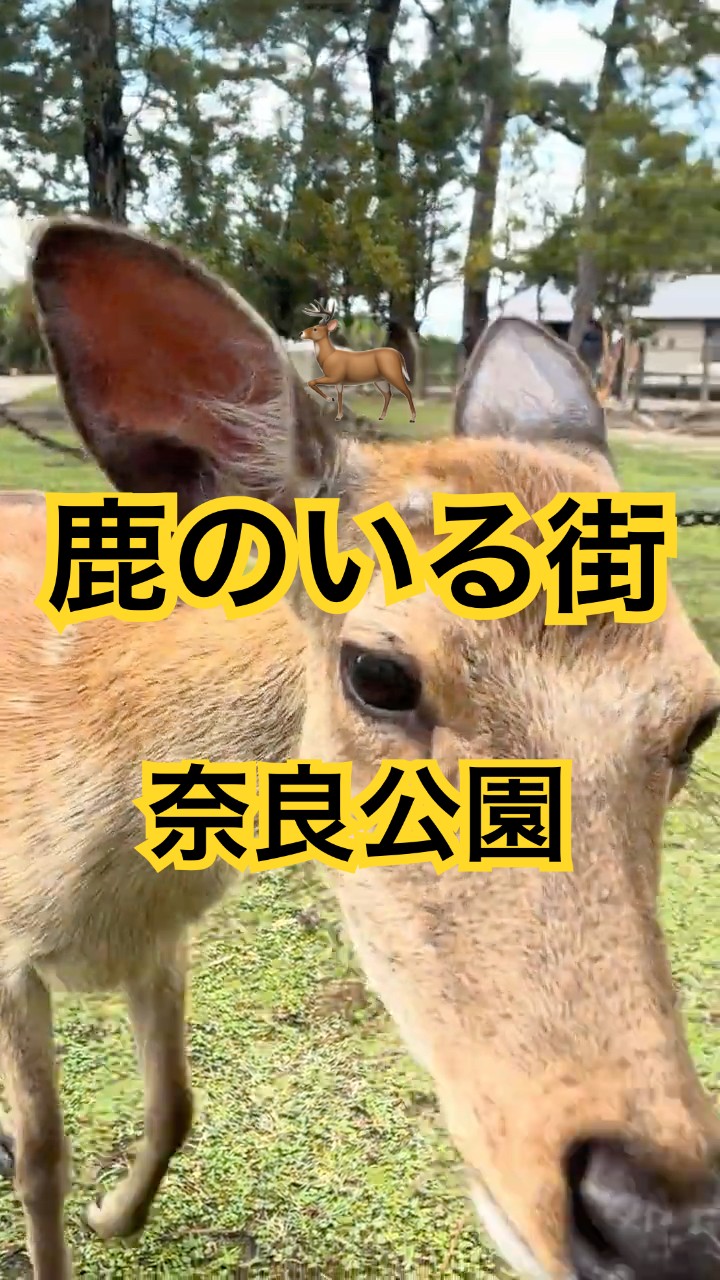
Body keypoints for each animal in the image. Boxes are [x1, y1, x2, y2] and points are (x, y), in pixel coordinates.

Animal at [0, 215, 720, 1280]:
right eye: (378, 672)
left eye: (701, 716)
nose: (663, 1225)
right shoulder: (9, 951)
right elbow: (46, 1158)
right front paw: (77, 1208)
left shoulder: (164, 939)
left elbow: (175, 1103)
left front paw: (115, 1216)